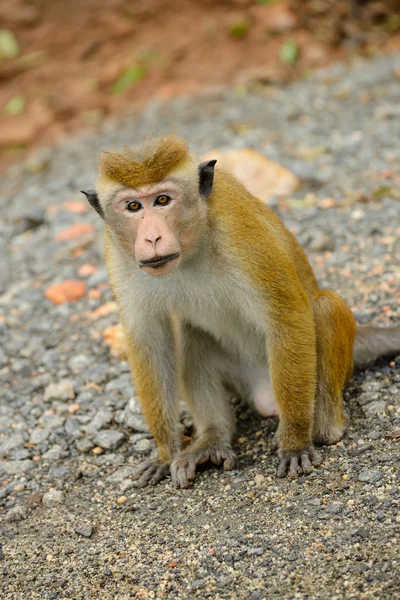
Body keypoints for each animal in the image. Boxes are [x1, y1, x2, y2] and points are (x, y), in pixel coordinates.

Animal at [81, 135, 400, 488]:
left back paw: (323, 427)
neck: (191, 248)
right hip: (241, 377)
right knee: (193, 339)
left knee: (324, 307)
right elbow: (149, 340)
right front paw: (166, 453)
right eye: (134, 207)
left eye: (162, 200)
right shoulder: (117, 255)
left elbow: (286, 315)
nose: (151, 237)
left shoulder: (239, 232)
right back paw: (212, 438)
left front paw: (294, 442)